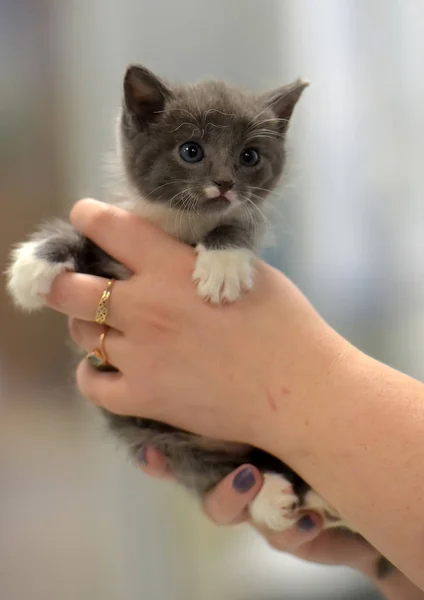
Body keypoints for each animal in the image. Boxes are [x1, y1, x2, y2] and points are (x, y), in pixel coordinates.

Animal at [4, 68, 394, 576]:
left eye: (250, 156)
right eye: (191, 150)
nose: (224, 183)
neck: (181, 226)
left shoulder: (244, 215)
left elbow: (240, 222)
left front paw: (223, 263)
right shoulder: (111, 248)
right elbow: (74, 234)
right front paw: (31, 266)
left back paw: (304, 497)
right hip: (153, 435)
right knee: (204, 469)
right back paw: (273, 494)